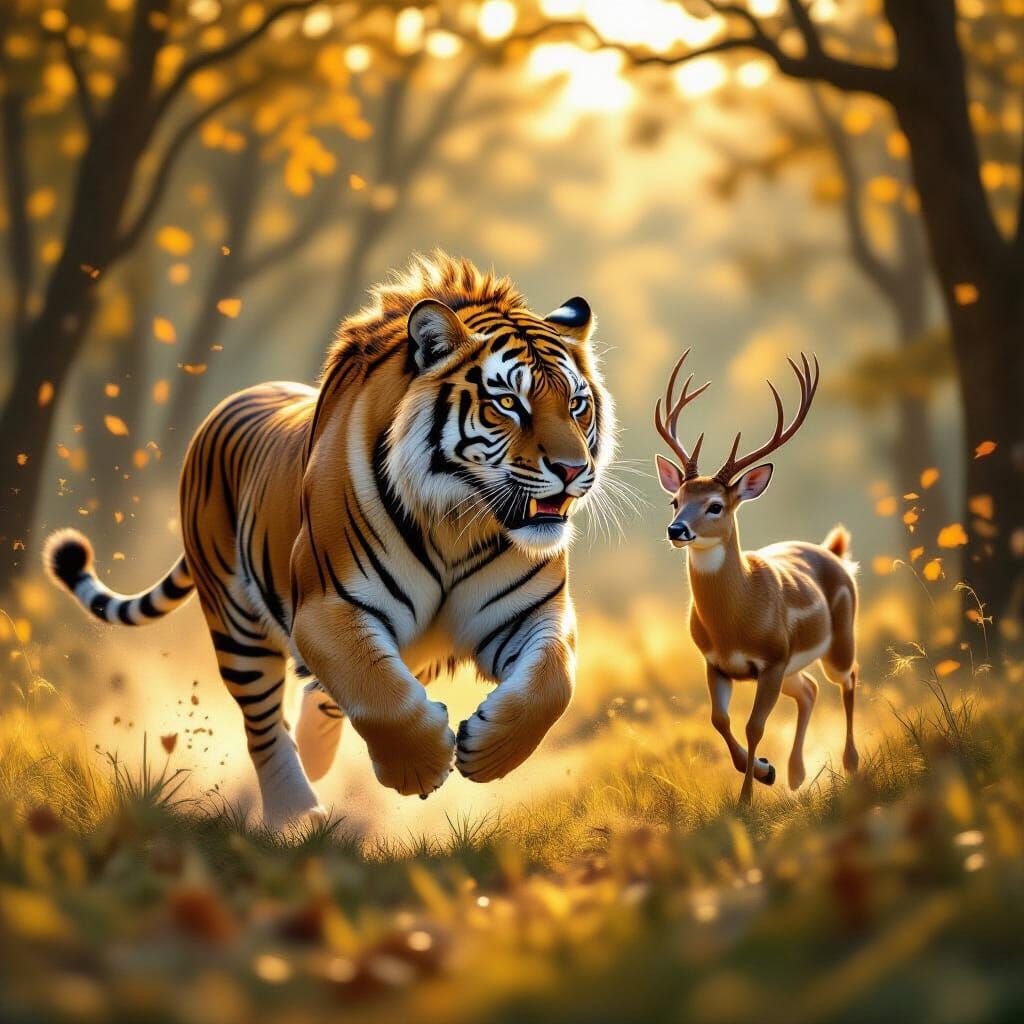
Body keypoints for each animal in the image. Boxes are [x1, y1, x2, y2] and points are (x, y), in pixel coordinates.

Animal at [653, 349, 860, 804]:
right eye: (675, 500)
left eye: (715, 505)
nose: (676, 530)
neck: (735, 622)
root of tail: (833, 552)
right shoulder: (715, 662)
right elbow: (719, 720)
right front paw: (766, 771)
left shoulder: (772, 659)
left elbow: (753, 726)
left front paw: (748, 797)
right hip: (794, 668)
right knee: (809, 690)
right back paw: (797, 774)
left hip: (838, 638)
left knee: (847, 678)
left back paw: (851, 762)